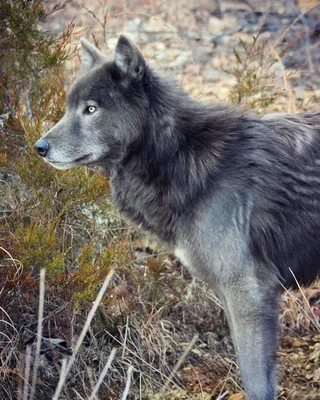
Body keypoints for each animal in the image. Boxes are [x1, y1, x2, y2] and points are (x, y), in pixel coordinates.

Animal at [34, 36, 320, 398]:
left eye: (91, 109)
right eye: (70, 106)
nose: (39, 146)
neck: (180, 155)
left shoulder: (249, 293)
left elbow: (257, 383)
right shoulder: (230, 294)